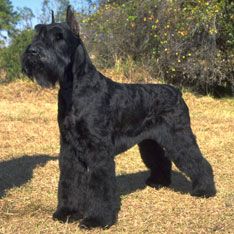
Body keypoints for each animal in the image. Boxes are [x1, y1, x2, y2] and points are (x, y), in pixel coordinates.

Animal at [22, 6, 216, 229]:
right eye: (38, 33)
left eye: (58, 36)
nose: (32, 52)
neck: (75, 88)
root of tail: (176, 91)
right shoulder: (69, 147)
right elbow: (69, 180)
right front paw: (67, 212)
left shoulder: (98, 150)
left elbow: (100, 185)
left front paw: (97, 219)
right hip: (150, 141)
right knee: (161, 160)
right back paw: (158, 182)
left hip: (179, 137)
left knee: (197, 160)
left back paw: (205, 190)